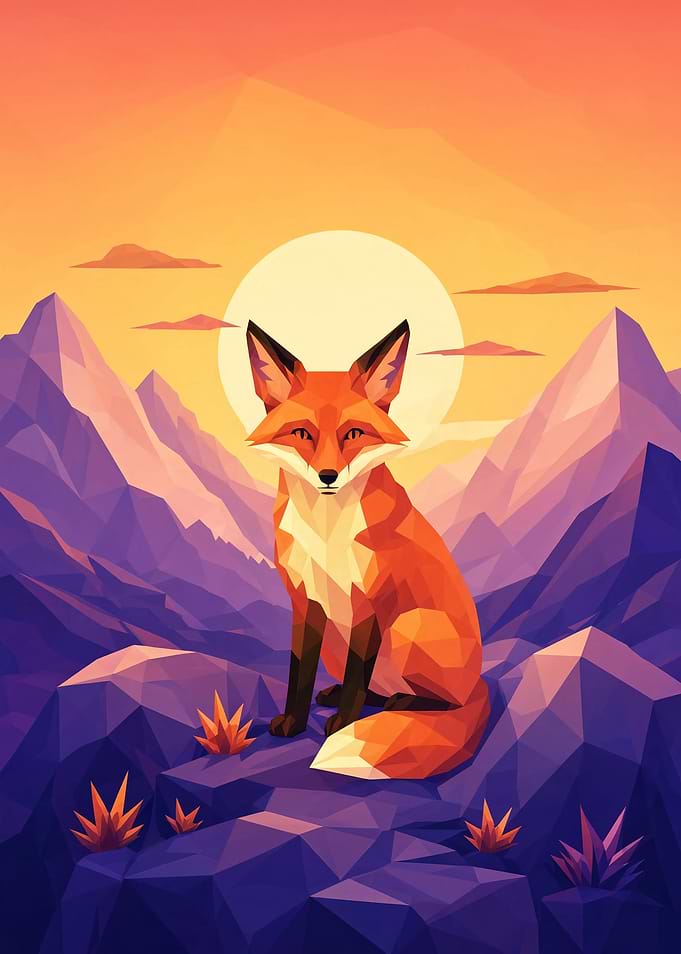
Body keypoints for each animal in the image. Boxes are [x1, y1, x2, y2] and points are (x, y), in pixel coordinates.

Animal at [245, 318, 489, 779]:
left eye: (354, 434)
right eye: (302, 433)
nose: (327, 475)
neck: (325, 532)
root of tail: (480, 681)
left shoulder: (370, 600)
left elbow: (359, 669)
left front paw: (345, 723)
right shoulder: (305, 600)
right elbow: (300, 670)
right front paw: (295, 720)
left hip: (408, 626)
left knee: (446, 703)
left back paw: (403, 702)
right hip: (342, 639)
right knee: (373, 686)